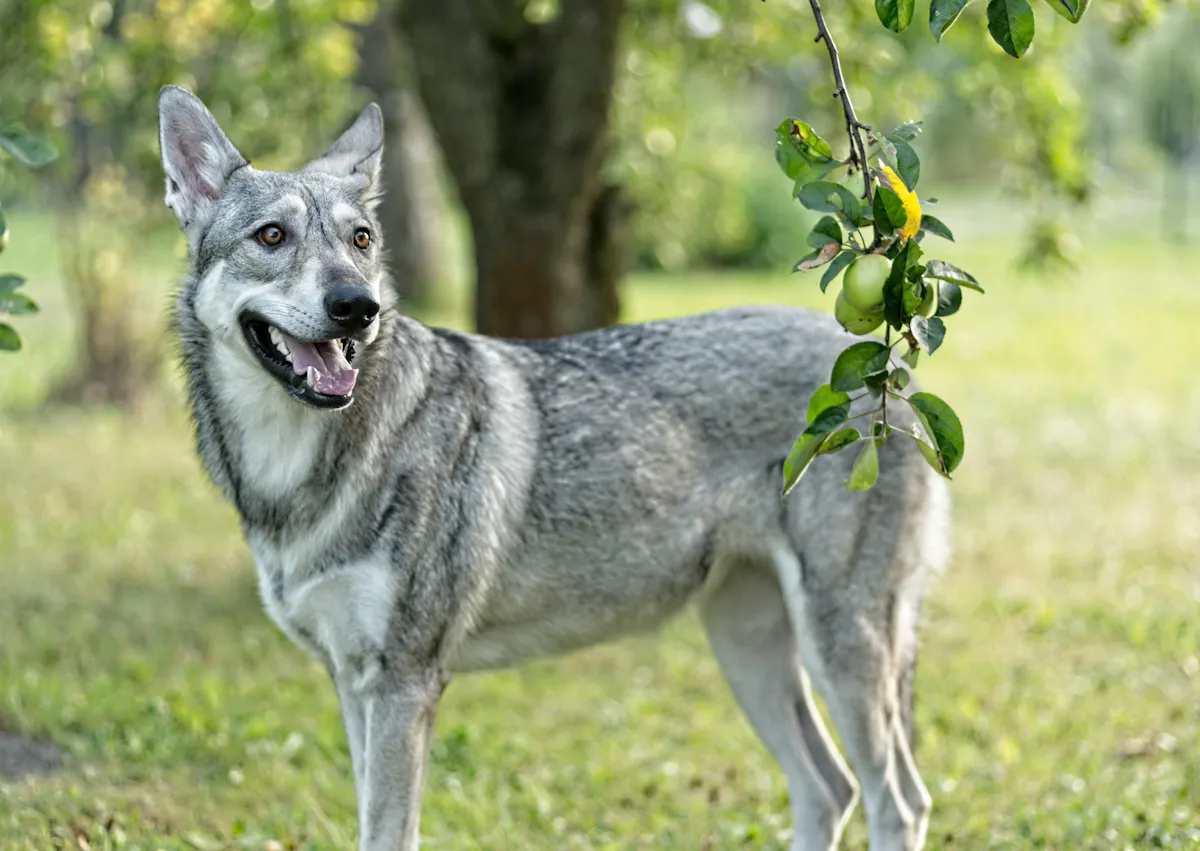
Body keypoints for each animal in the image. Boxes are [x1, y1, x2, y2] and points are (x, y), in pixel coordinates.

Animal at [158, 85, 950, 851]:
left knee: (900, 800)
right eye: (272, 236)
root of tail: (887, 368)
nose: (359, 306)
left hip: (839, 649)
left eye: (360, 241)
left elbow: (387, 834)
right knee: (831, 789)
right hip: (751, 648)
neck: (291, 473)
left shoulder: (404, 685)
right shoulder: (352, 683)